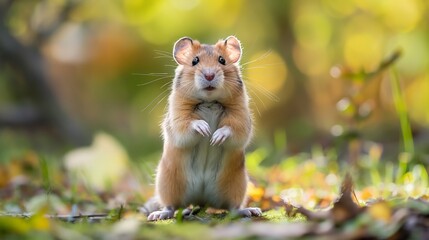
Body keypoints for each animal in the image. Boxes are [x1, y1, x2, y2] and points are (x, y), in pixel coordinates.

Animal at [145, 35, 260, 221]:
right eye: (195, 61)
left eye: (222, 60)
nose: (209, 75)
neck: (209, 101)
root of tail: (202, 200)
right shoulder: (178, 119)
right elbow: (188, 124)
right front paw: (204, 129)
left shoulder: (241, 118)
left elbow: (232, 129)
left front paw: (216, 137)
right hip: (168, 184)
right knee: (172, 205)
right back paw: (159, 214)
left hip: (236, 185)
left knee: (232, 207)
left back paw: (250, 211)